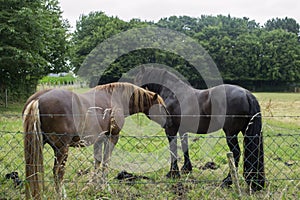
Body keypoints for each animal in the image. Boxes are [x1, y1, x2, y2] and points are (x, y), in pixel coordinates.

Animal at [22, 82, 169, 199]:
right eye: (161, 107)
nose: (169, 122)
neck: (115, 99)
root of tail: (38, 99)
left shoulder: (99, 139)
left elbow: (97, 162)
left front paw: (94, 185)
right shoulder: (112, 137)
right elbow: (105, 162)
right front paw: (105, 187)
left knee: (33, 170)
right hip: (62, 149)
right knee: (58, 172)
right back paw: (61, 195)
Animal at [134, 67, 264, 191]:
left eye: (137, 79)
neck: (172, 94)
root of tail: (247, 94)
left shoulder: (171, 130)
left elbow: (173, 150)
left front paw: (173, 174)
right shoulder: (182, 130)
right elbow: (185, 147)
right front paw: (186, 169)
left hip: (230, 134)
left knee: (236, 153)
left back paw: (227, 181)